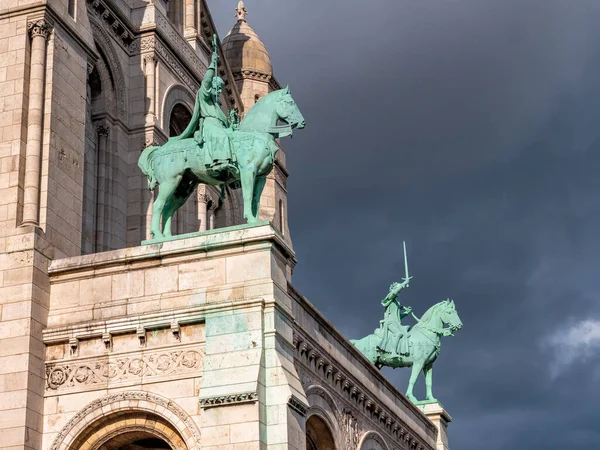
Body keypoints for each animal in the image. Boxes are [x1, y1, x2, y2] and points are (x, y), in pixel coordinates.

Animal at [139, 85, 304, 239]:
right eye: (290, 102)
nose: (302, 122)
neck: (255, 134)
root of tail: (158, 150)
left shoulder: (260, 177)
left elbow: (256, 201)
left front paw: (257, 221)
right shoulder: (248, 171)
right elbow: (248, 196)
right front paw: (251, 220)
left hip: (183, 188)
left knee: (168, 208)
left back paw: (168, 237)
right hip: (170, 181)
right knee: (158, 204)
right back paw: (157, 236)